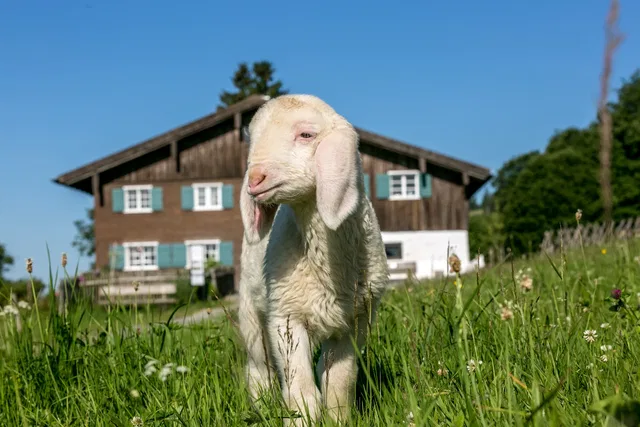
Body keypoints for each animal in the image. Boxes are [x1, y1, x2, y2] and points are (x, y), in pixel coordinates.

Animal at [238, 94, 389, 425]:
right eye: (252, 138)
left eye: (306, 134)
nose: (254, 179)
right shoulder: (285, 317)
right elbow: (301, 388)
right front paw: (300, 419)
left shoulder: (355, 320)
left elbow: (339, 380)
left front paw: (337, 419)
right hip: (251, 311)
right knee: (258, 367)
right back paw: (262, 406)